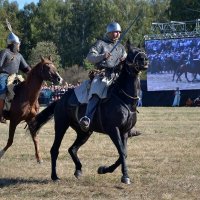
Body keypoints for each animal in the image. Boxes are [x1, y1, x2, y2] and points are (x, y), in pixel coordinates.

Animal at [28, 42, 149, 184]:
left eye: (143, 51)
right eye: (131, 53)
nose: (144, 59)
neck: (124, 98)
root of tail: (60, 100)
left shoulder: (124, 132)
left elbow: (123, 153)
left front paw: (104, 169)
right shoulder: (113, 130)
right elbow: (122, 152)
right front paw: (124, 176)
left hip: (85, 132)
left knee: (72, 149)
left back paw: (78, 170)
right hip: (61, 126)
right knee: (55, 150)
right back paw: (55, 176)